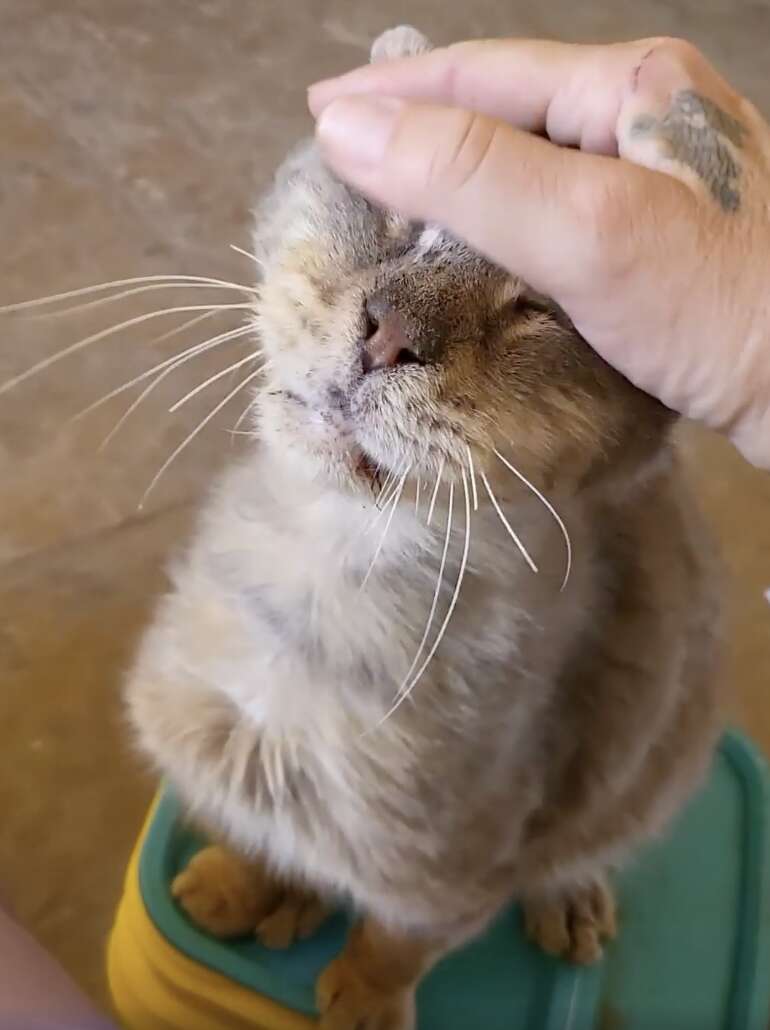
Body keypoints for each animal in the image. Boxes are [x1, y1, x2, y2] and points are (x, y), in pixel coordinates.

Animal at [126, 24, 720, 1030]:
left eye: (545, 307)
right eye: (397, 207)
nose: (389, 332)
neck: (324, 576)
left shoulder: (449, 872)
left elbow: (395, 944)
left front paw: (363, 1000)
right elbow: (262, 837)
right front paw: (244, 886)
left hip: (659, 759)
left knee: (591, 844)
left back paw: (571, 903)